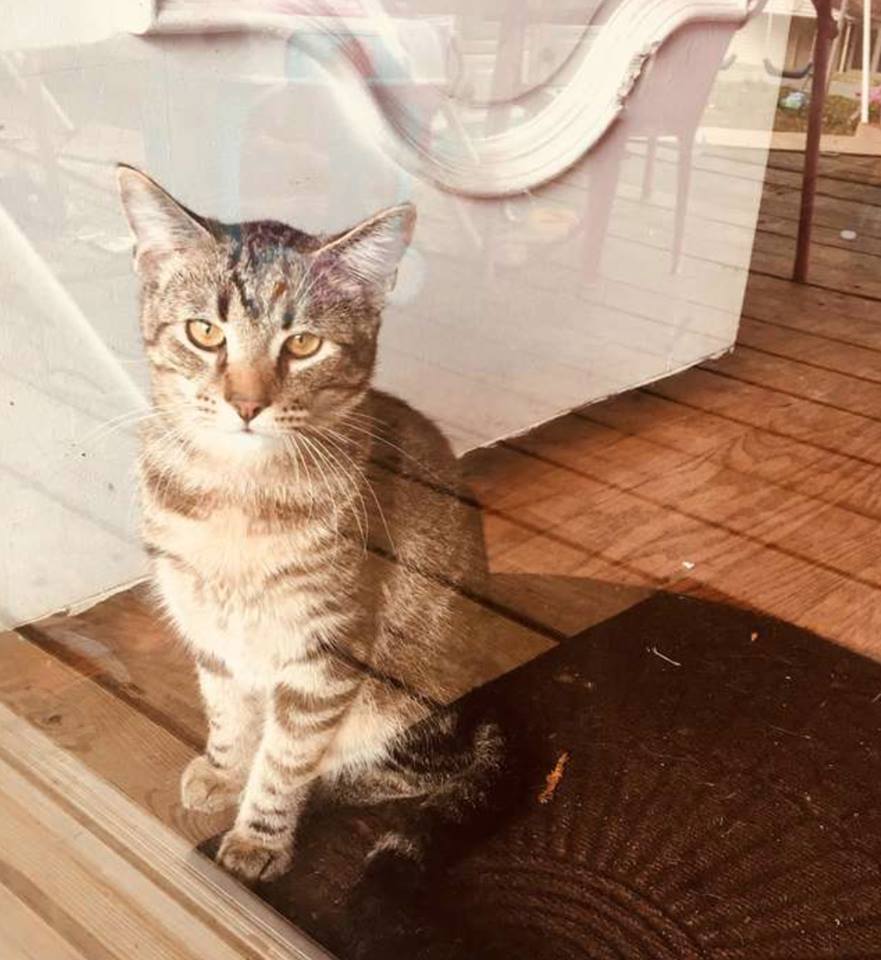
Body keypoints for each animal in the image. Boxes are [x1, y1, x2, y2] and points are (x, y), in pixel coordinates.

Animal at [117, 163, 502, 884]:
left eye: (303, 343)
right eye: (204, 332)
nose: (245, 404)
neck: (233, 494)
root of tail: (487, 709)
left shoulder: (325, 650)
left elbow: (284, 758)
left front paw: (257, 836)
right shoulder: (207, 628)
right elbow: (226, 710)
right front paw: (222, 770)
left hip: (397, 706)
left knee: (418, 774)